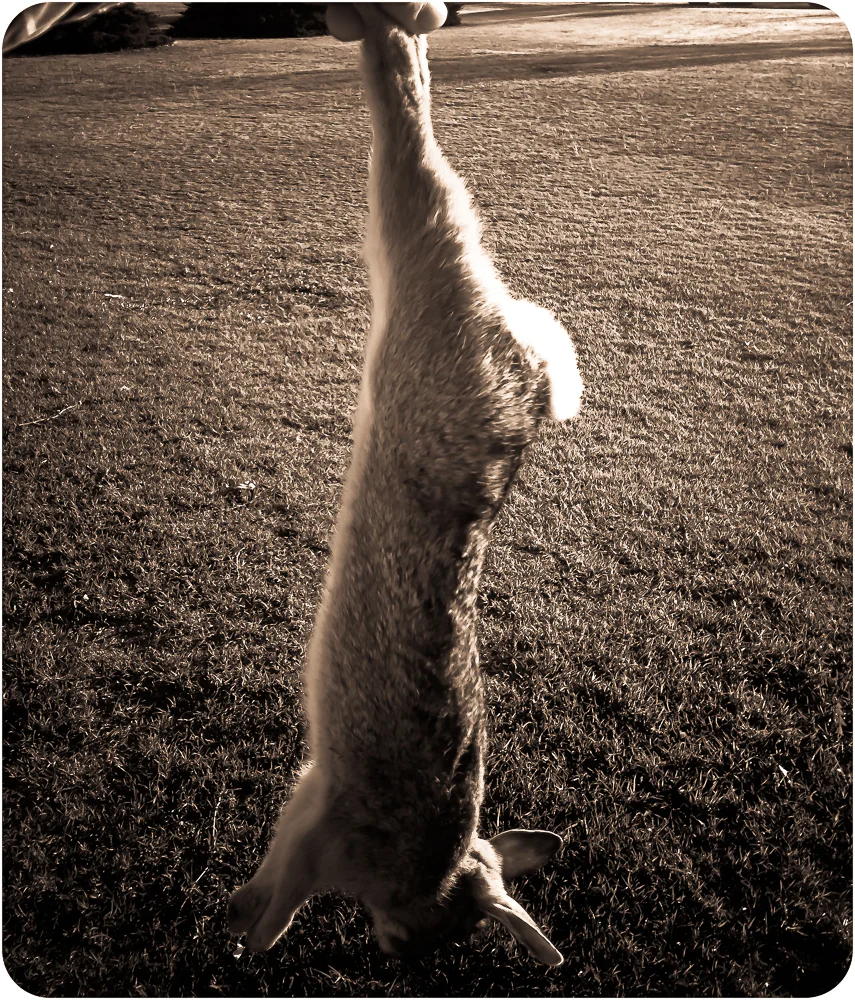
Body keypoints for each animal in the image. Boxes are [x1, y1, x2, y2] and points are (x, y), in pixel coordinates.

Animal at [228, 3, 583, 966]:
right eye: (431, 933)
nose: (394, 948)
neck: (434, 865)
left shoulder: (310, 805)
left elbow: (273, 879)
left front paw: (234, 922)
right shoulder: (323, 832)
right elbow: (280, 901)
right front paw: (247, 935)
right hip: (417, 271)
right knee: (410, 147)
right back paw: (384, 33)